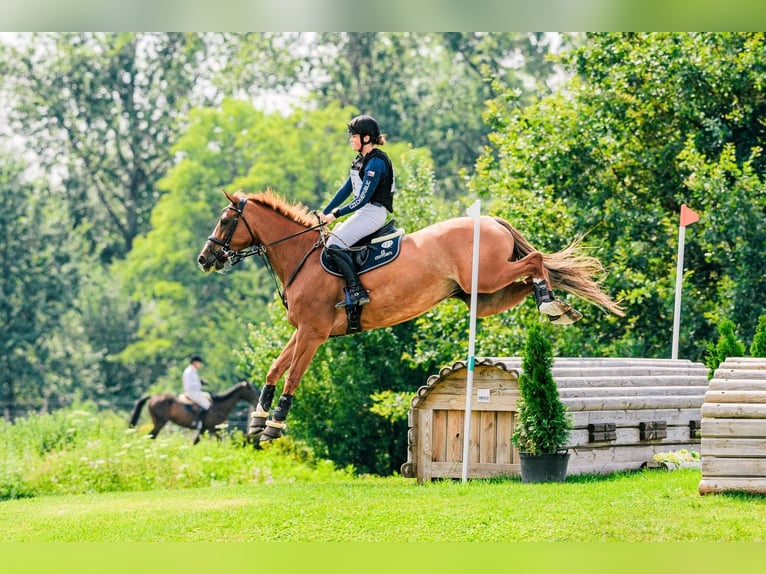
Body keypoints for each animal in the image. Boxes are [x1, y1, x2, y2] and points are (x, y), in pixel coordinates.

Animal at [129, 382, 260, 446]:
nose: (257, 400)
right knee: (152, 435)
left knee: (151, 436)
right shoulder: (210, 429)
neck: (219, 406)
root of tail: (153, 397)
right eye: (250, 389)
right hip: (160, 422)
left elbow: (197, 442)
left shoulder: (208, 430)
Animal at [196, 189, 624, 446]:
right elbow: (274, 369)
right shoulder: (303, 331)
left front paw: (274, 425)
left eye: (225, 221)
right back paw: (556, 305)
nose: (204, 259)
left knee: (535, 260)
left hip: (486, 277)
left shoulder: (313, 333)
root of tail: (491, 220)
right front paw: (257, 418)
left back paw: (551, 304)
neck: (302, 257)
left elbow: (293, 375)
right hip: (482, 294)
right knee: (528, 276)